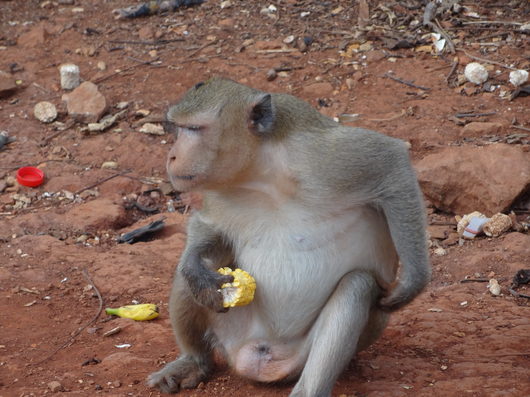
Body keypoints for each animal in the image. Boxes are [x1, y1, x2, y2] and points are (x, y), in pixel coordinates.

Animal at [147, 77, 428, 396]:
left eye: (194, 129)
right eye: (177, 128)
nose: (171, 155)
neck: (262, 174)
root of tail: (257, 356)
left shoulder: (324, 158)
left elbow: (392, 162)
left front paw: (413, 280)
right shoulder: (217, 189)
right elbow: (208, 227)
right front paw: (194, 265)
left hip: (299, 357)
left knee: (357, 285)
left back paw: (308, 390)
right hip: (232, 334)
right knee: (195, 274)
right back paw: (194, 360)